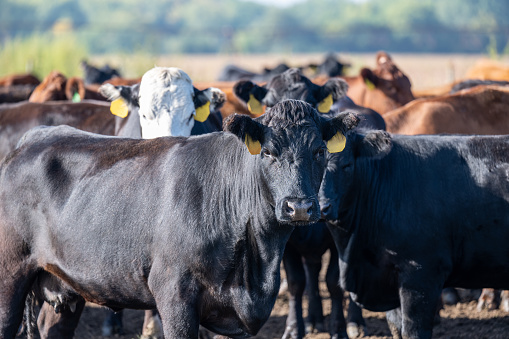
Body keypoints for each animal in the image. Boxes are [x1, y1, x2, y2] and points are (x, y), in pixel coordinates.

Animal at [0, 99, 360, 339]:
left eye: (320, 151)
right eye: (269, 152)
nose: (299, 207)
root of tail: (31, 139)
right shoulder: (173, 291)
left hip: (63, 287)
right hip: (10, 278)